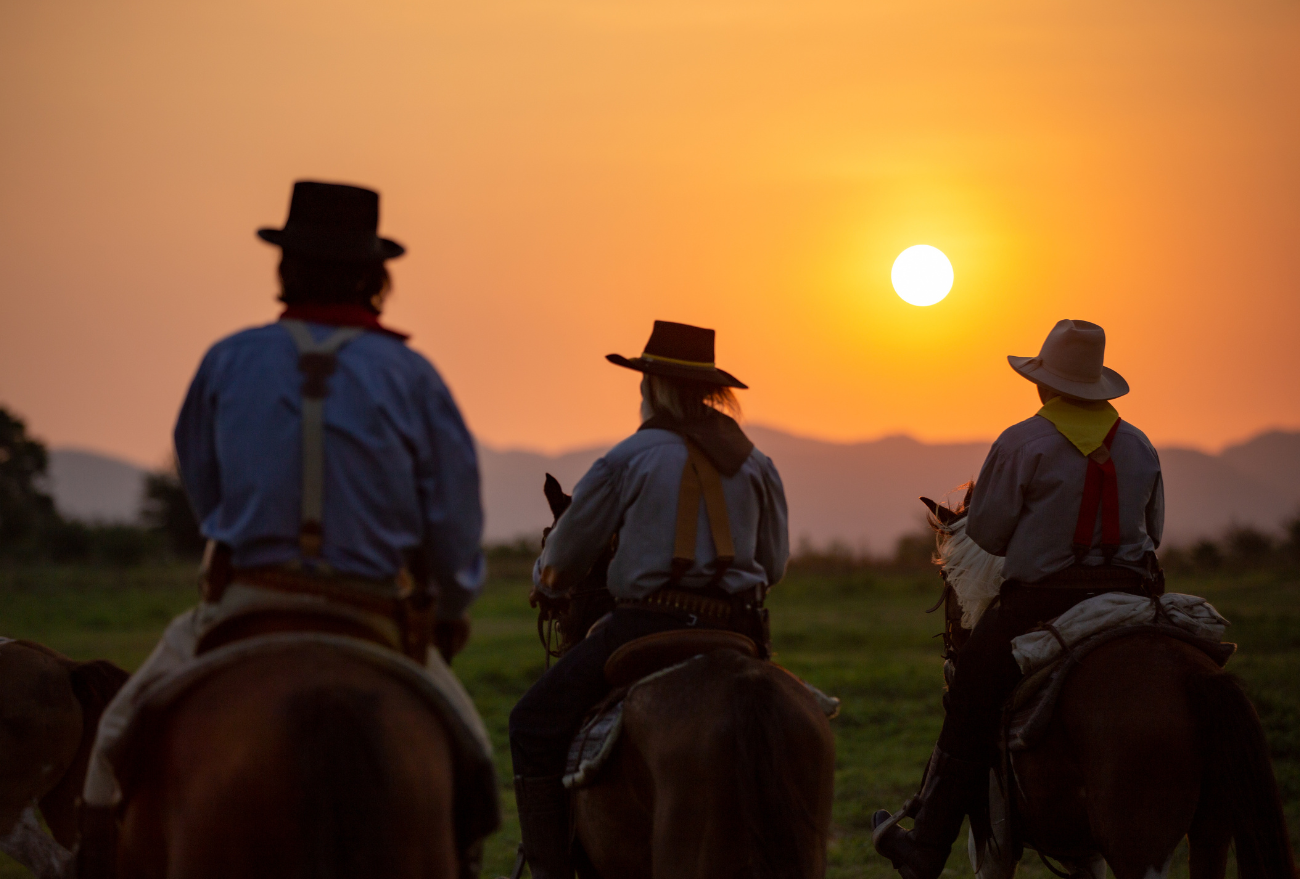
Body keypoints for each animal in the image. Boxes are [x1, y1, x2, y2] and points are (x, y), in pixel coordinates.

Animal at [920, 494, 1294, 879]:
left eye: (944, 576)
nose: (951, 658)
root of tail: (1192, 674)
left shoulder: (994, 848)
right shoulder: (1084, 854)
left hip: (1139, 849)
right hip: (1210, 833)